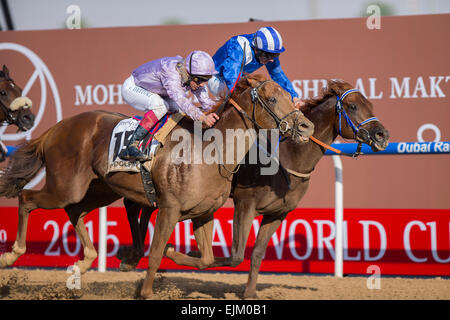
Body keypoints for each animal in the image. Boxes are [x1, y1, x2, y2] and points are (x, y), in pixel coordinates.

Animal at [0, 75, 312, 300]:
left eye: (291, 97)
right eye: (273, 98)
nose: (306, 127)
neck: (211, 151)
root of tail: (57, 128)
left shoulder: (203, 213)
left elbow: (207, 258)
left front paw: (172, 254)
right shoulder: (169, 208)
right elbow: (156, 251)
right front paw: (148, 290)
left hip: (98, 189)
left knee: (74, 210)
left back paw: (84, 262)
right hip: (65, 185)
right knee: (27, 198)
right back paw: (11, 254)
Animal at [119, 79, 390, 298]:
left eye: (370, 105)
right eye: (353, 107)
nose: (382, 135)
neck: (286, 159)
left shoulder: (278, 213)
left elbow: (257, 252)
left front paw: (250, 292)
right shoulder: (245, 202)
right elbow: (236, 255)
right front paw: (173, 253)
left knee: (139, 207)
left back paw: (131, 256)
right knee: (135, 207)